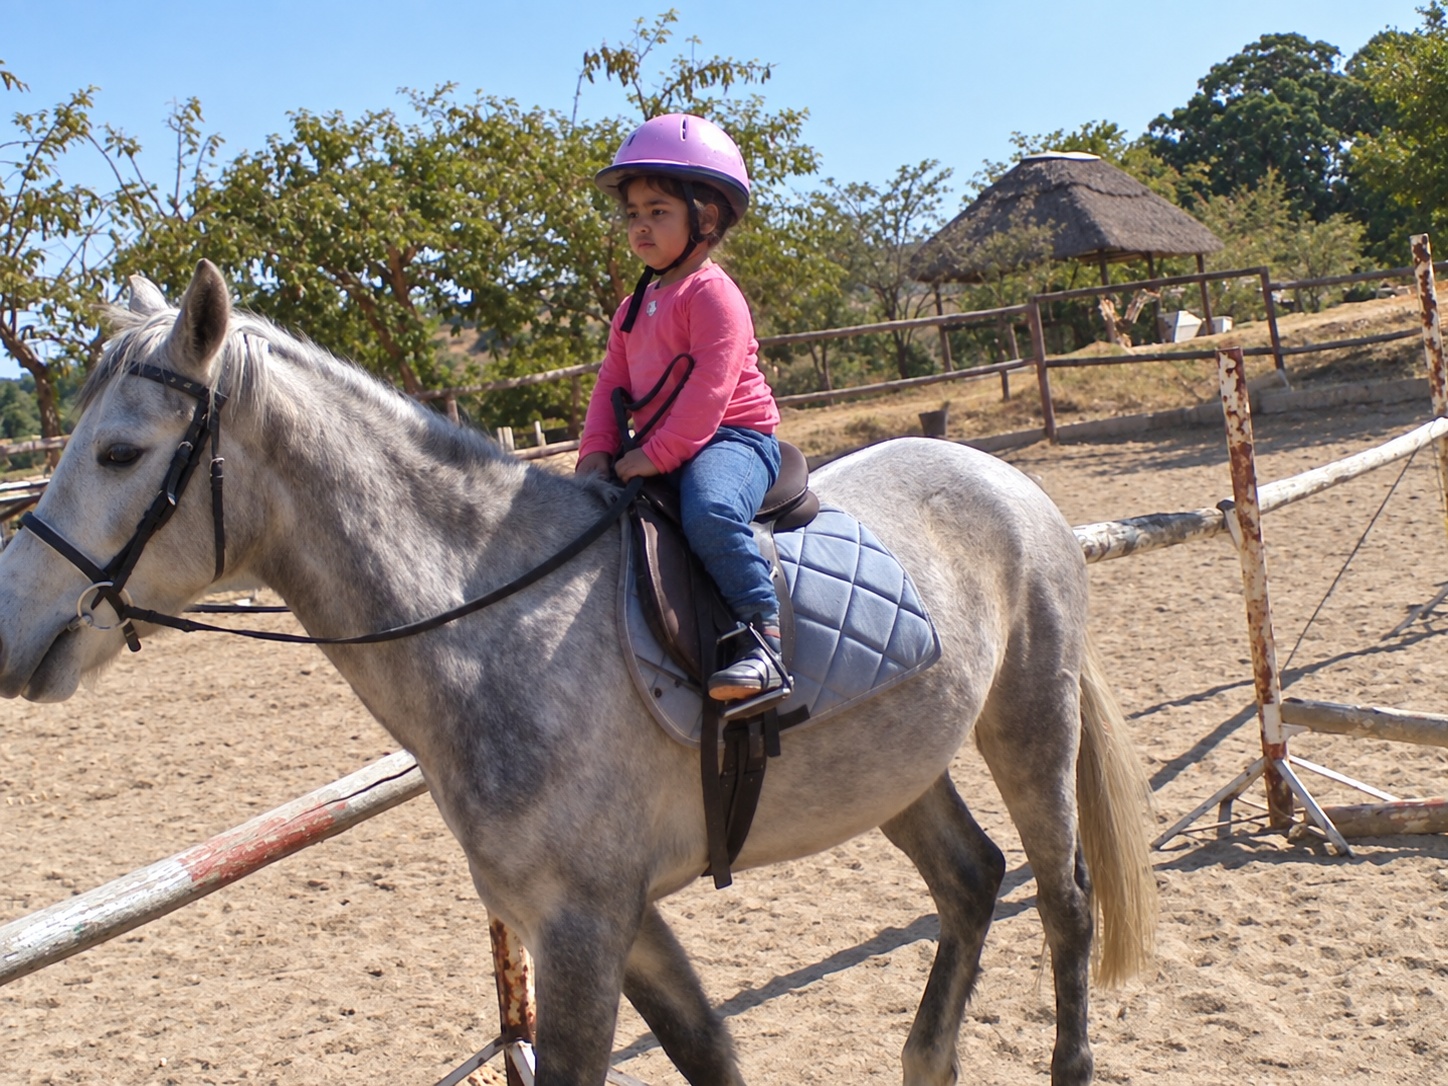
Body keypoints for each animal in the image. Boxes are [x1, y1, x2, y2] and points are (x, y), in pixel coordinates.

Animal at [0, 260, 1156, 1086]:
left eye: (118, 453)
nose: (10, 631)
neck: (501, 619)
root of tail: (1004, 479)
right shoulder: (606, 919)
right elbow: (709, 1053)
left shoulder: (582, 928)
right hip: (896, 774)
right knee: (972, 880)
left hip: (1027, 725)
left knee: (1062, 901)